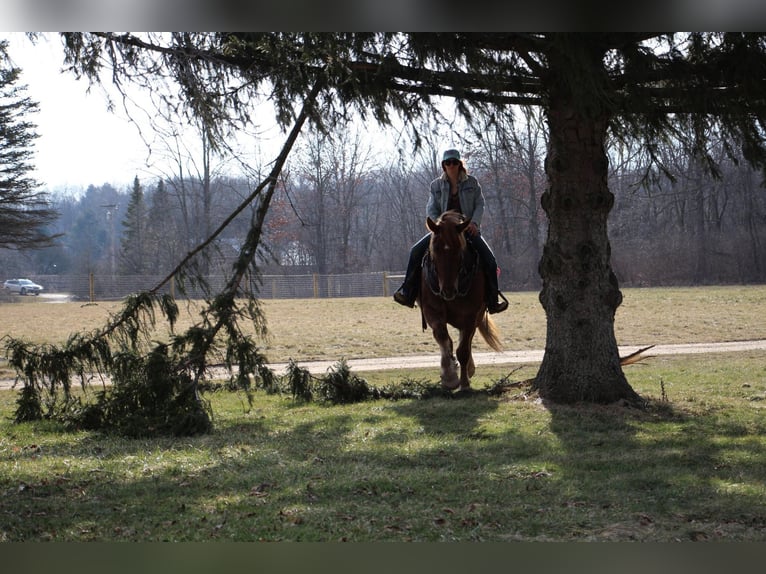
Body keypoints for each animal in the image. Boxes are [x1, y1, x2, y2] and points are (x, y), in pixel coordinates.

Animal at [420, 209, 504, 394]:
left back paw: (469, 369)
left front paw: (464, 383)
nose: (447, 290)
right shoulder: (432, 310)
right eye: (435, 250)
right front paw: (449, 377)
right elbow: (443, 339)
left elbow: (463, 350)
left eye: (459, 251)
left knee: (467, 341)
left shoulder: (471, 315)